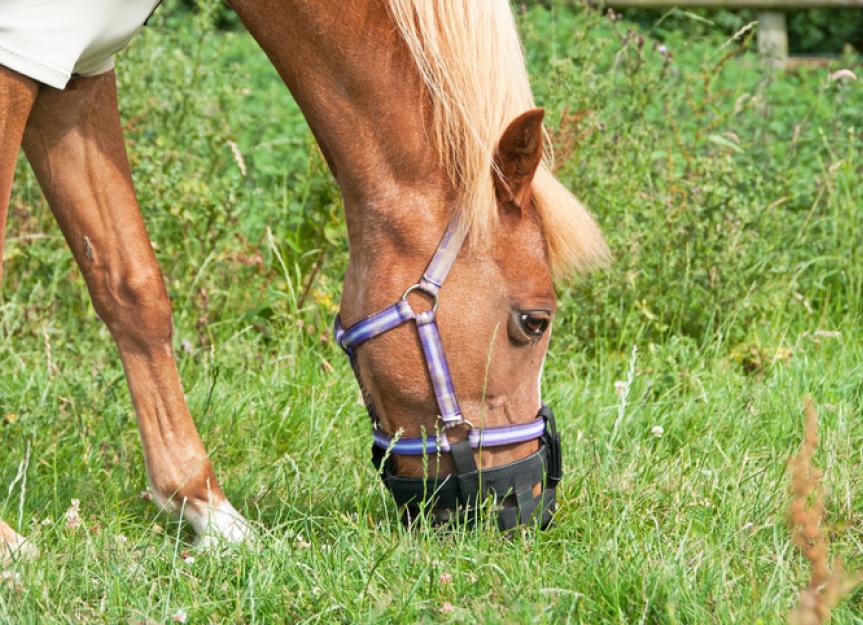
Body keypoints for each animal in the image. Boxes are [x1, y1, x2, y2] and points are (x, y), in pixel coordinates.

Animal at [0, 0, 608, 560]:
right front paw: (10, 549)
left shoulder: (78, 70)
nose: (530, 506)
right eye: (534, 322)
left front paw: (210, 513)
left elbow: (132, 286)